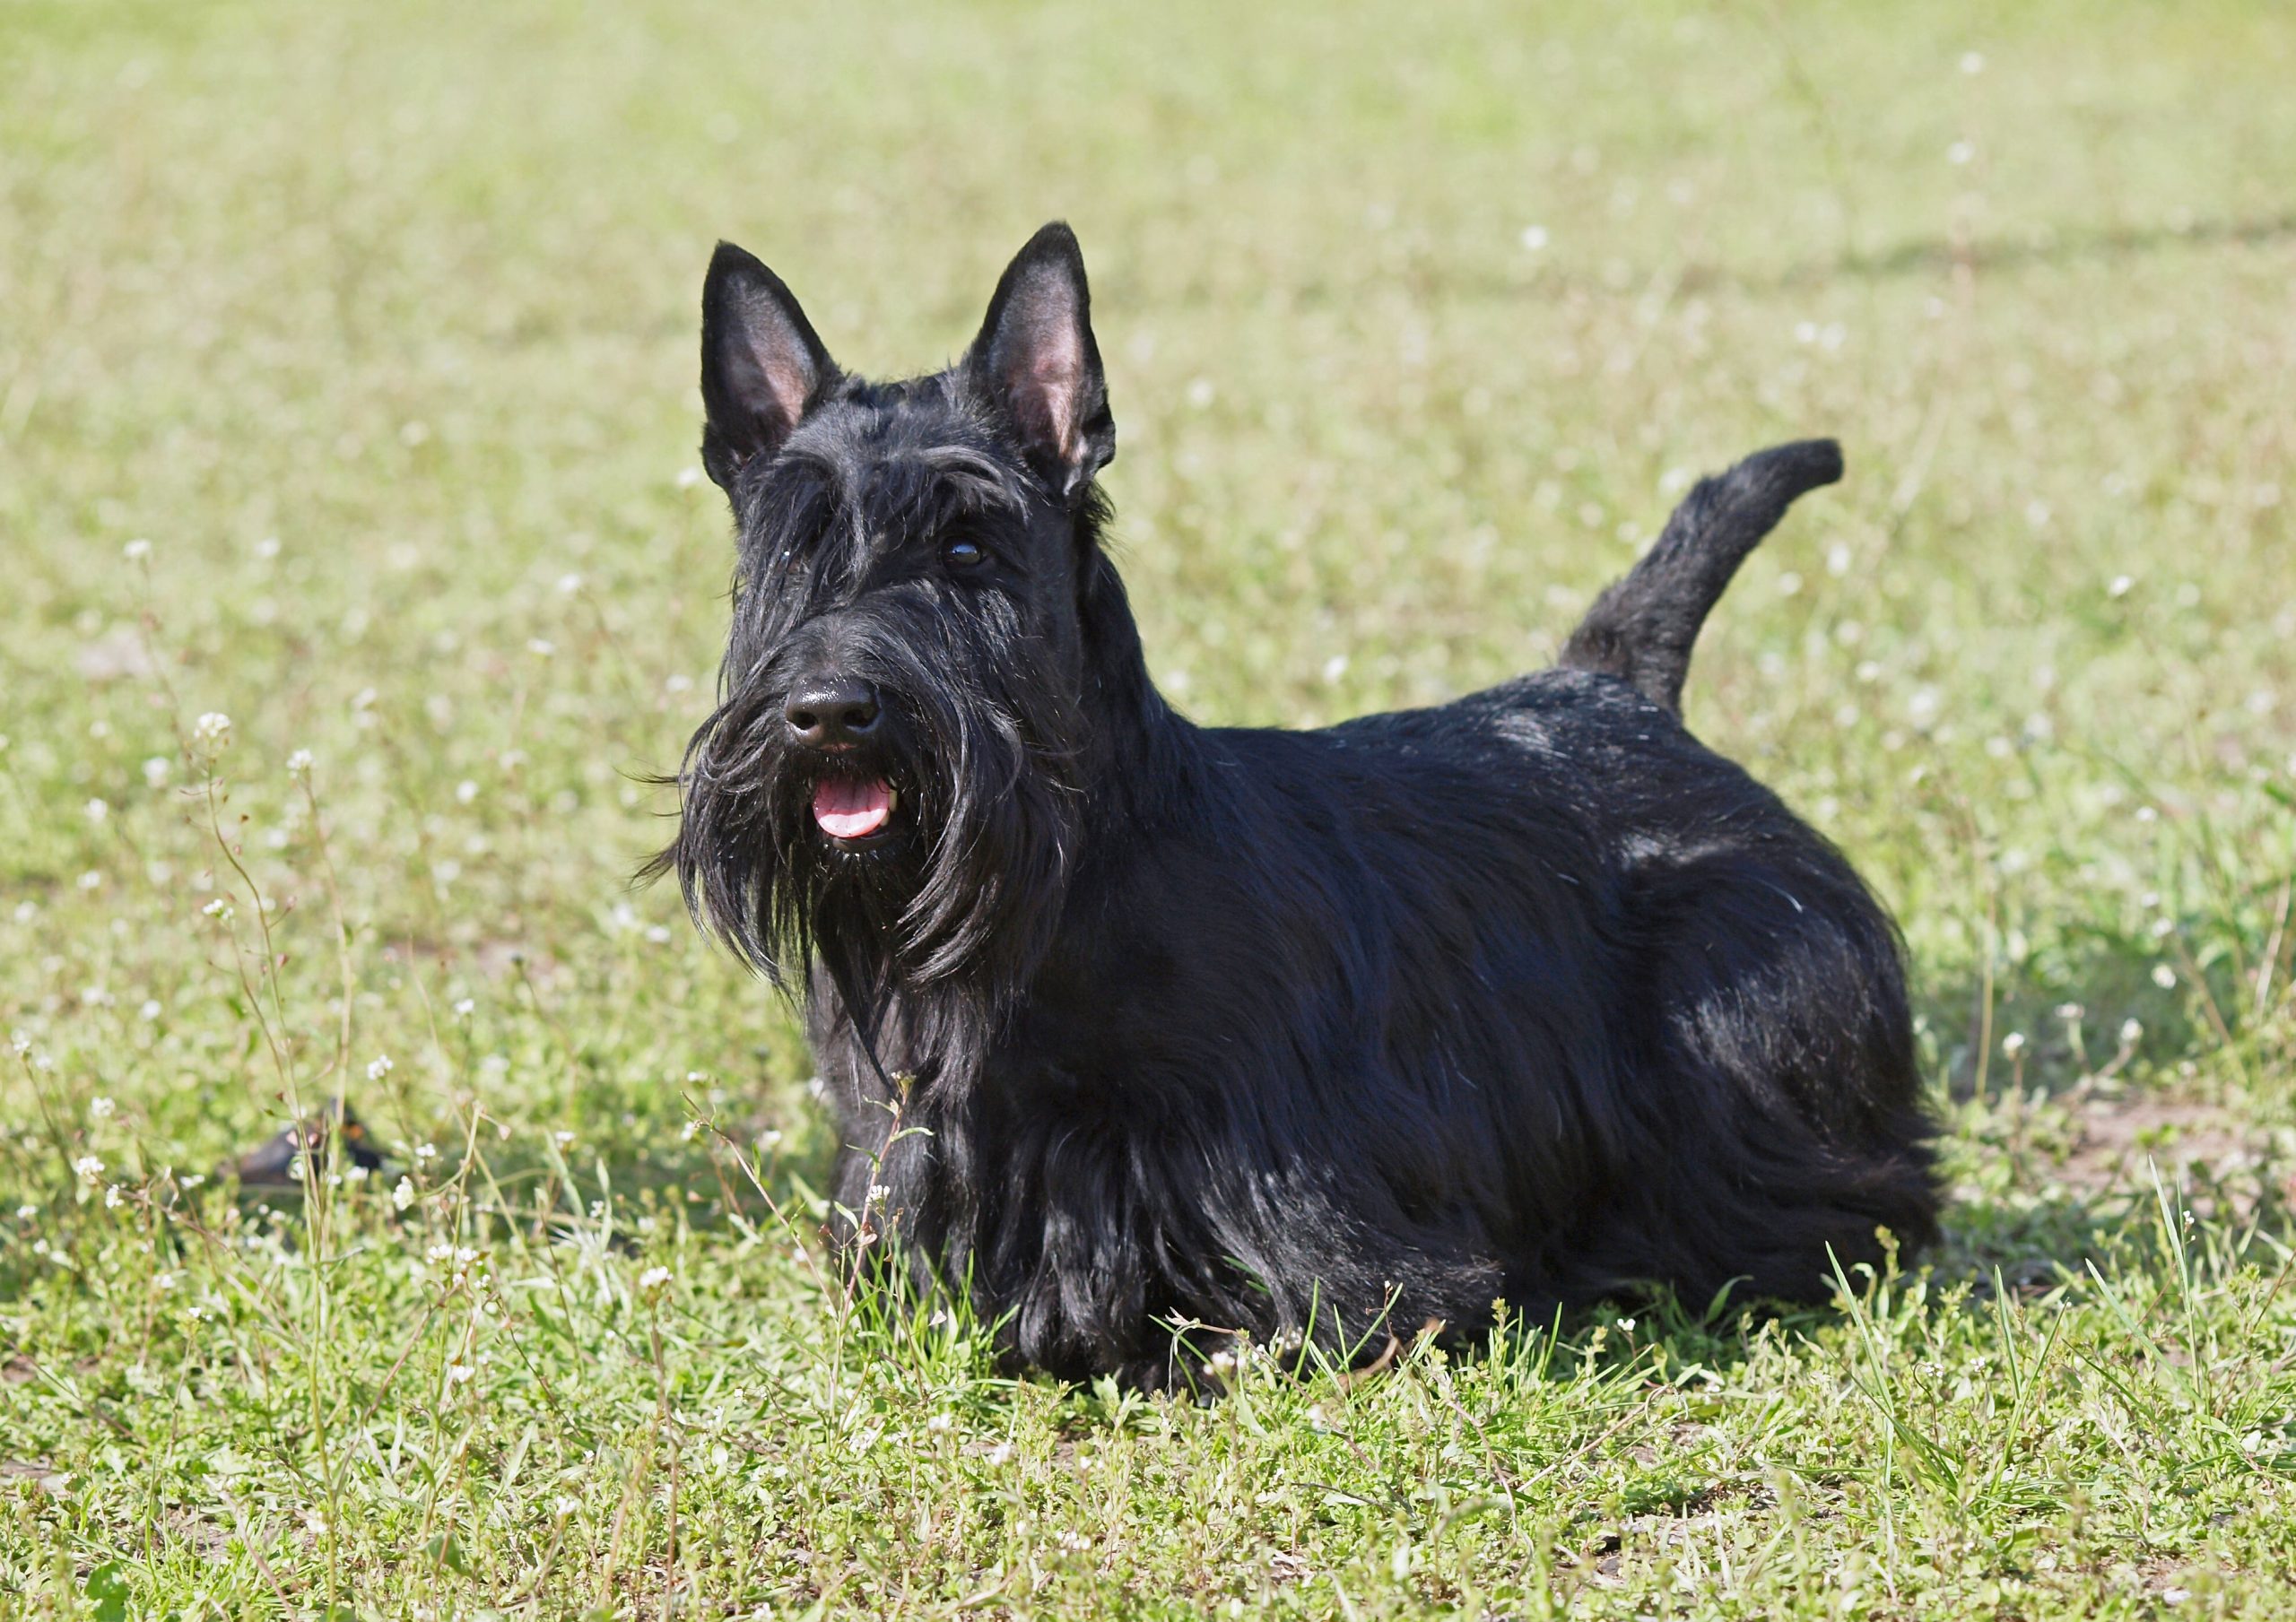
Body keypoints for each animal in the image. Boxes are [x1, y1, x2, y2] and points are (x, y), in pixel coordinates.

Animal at [652, 222, 1937, 1385]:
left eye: (970, 550)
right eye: (789, 552)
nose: (830, 710)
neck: (1063, 882)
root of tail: (1617, 687)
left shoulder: (1324, 1234)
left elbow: (1291, 1323)